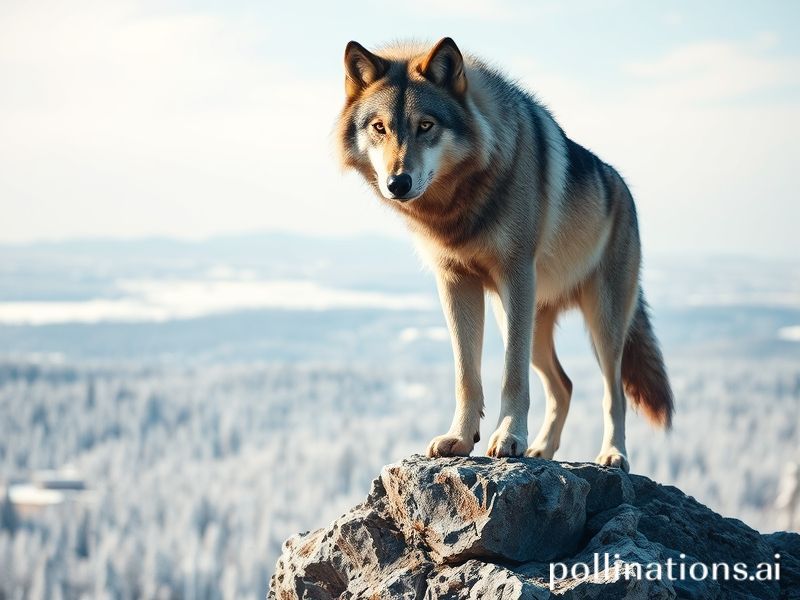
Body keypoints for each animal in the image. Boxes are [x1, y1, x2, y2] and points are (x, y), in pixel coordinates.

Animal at [335, 38, 674, 471]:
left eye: (425, 125)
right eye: (380, 128)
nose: (398, 182)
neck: (458, 205)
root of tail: (624, 190)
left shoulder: (517, 275)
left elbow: (512, 375)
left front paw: (509, 438)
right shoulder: (455, 283)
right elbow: (466, 375)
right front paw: (461, 439)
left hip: (601, 325)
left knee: (612, 393)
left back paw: (612, 454)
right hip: (526, 321)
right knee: (564, 385)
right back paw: (542, 449)